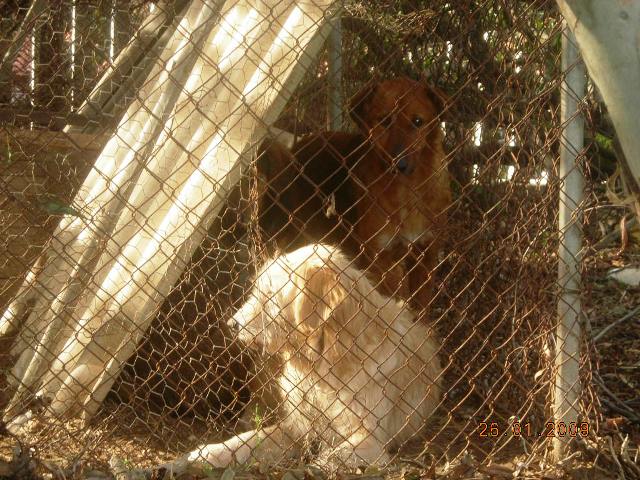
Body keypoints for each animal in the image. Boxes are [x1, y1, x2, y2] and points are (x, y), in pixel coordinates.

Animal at [162, 244, 441, 472]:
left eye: (270, 296)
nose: (232, 324)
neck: (321, 366)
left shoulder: (369, 441)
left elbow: (326, 459)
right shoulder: (296, 426)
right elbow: (247, 441)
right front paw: (201, 455)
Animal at [256, 77, 451, 314]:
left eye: (417, 121)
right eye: (384, 120)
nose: (399, 164)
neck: (407, 191)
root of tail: (296, 150)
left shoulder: (426, 254)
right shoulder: (379, 258)